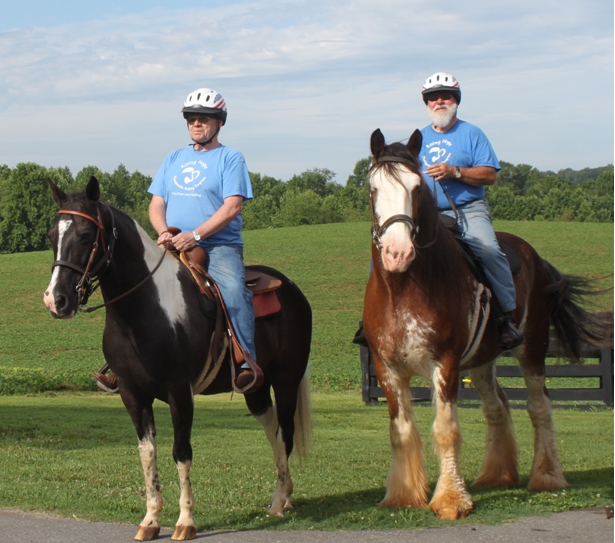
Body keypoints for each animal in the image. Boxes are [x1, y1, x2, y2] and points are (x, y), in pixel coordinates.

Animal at [44, 178, 312, 540]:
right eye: (51, 237)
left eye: (86, 235)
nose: (56, 300)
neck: (145, 309)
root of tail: (292, 289)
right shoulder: (132, 395)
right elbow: (148, 454)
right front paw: (150, 519)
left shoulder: (180, 393)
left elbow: (181, 453)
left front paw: (185, 520)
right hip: (255, 388)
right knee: (272, 430)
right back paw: (282, 497)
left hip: (286, 382)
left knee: (285, 433)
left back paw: (280, 500)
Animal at [364, 129, 612, 524]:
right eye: (373, 189)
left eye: (417, 188)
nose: (397, 253)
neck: (403, 288)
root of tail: (536, 257)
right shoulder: (386, 367)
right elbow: (400, 429)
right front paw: (403, 494)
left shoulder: (446, 364)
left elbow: (446, 430)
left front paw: (451, 500)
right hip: (482, 361)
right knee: (497, 406)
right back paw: (498, 474)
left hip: (532, 349)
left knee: (539, 406)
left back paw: (547, 476)